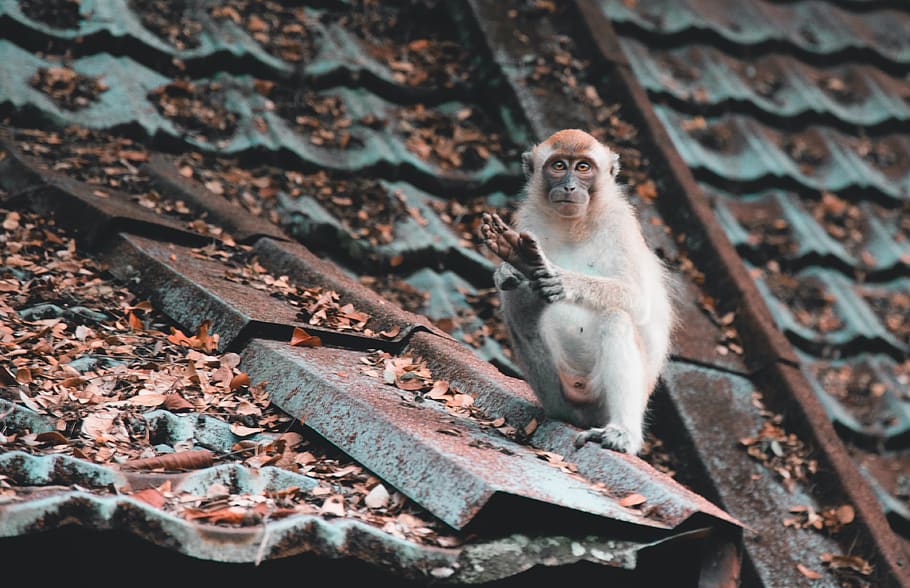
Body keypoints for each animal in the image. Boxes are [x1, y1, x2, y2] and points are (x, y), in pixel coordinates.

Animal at [479, 129, 676, 455]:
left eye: (583, 167)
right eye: (559, 166)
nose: (569, 186)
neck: (574, 225)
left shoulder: (621, 223)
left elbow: (638, 300)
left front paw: (560, 280)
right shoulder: (528, 218)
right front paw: (512, 268)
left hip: (600, 400)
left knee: (616, 319)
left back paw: (623, 432)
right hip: (555, 394)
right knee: (515, 303)